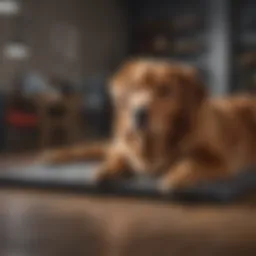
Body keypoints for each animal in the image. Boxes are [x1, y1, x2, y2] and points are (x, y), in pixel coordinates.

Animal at [42, 58, 256, 192]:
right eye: (135, 88)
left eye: (165, 90)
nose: (139, 113)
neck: (153, 141)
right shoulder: (123, 147)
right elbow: (119, 158)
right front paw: (107, 170)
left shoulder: (221, 160)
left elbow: (190, 162)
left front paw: (175, 177)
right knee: (87, 148)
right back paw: (49, 155)